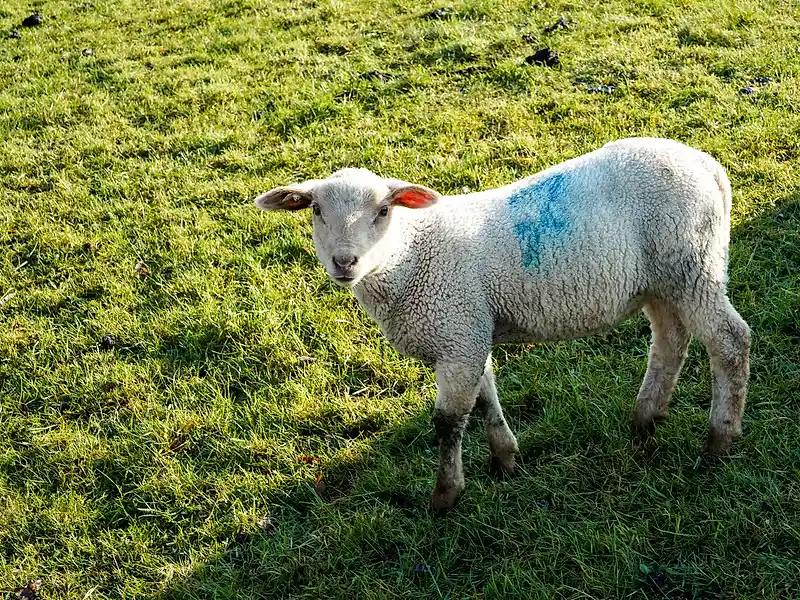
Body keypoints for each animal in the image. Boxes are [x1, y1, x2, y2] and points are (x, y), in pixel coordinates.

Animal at [254, 137, 750, 512]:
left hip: (691, 262)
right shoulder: (471, 331)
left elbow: (448, 422)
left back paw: (718, 441)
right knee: (670, 341)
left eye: (383, 211)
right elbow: (485, 398)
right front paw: (506, 460)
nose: (344, 262)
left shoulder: (457, 331)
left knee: (729, 341)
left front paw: (445, 496)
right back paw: (646, 419)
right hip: (660, 280)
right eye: (315, 210)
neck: (408, 256)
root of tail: (708, 166)